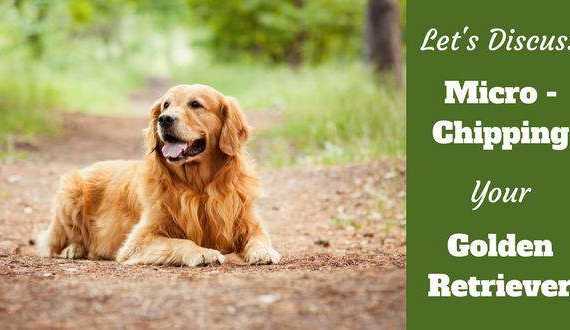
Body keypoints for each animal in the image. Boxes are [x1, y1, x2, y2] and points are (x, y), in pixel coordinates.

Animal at [36, 84, 280, 266]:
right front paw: (204, 252)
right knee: (57, 242)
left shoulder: (249, 222)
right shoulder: (139, 240)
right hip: (70, 191)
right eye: (166, 105)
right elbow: (180, 242)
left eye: (195, 104)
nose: (164, 119)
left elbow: (259, 238)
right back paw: (73, 249)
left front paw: (264, 252)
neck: (198, 187)